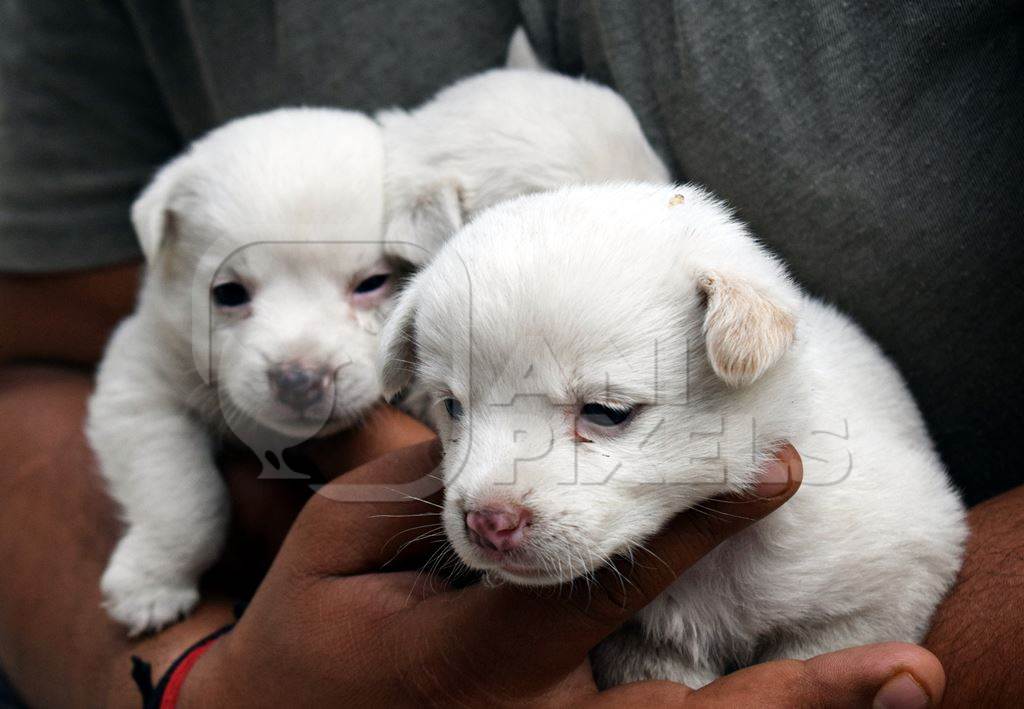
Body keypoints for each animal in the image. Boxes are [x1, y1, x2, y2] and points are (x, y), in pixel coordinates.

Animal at [88, 106, 395, 635]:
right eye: (228, 292)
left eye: (373, 283)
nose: (299, 379)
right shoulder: (142, 383)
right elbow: (180, 495)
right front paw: (150, 584)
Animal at [378, 181, 966, 688]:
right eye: (452, 406)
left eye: (606, 411)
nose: (488, 522)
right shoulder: (643, 643)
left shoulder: (896, 577)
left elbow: (825, 642)